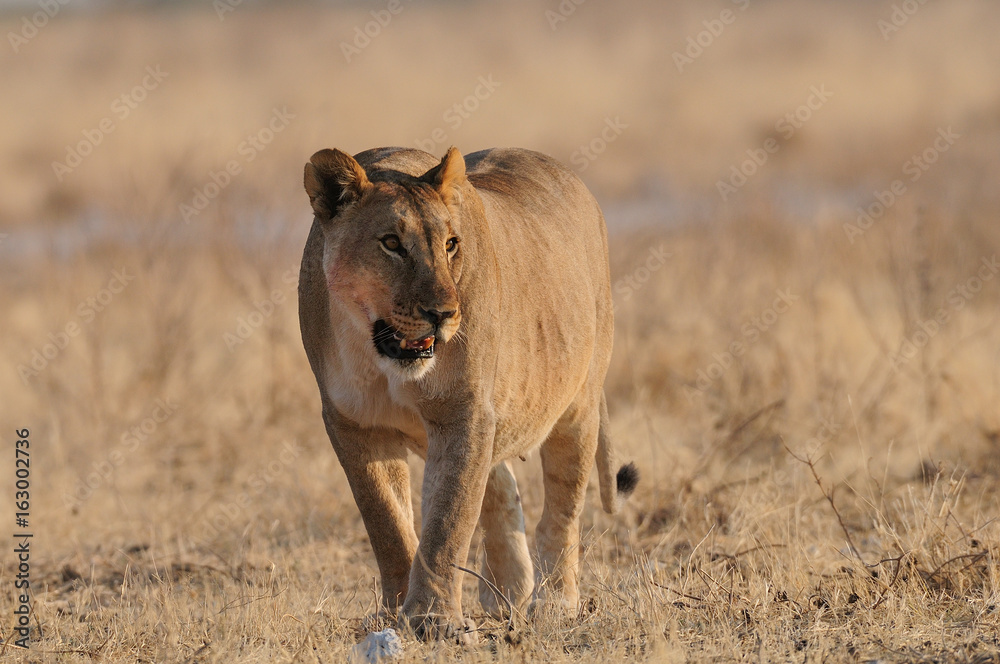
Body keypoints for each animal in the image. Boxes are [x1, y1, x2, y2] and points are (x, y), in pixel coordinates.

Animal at [298, 145, 638, 642]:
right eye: (391, 243)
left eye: (450, 244)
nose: (442, 313)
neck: (376, 355)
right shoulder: (353, 422)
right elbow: (387, 521)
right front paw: (395, 611)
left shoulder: (463, 412)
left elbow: (448, 519)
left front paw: (432, 619)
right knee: (500, 482)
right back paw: (508, 591)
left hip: (577, 406)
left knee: (562, 510)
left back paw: (555, 603)